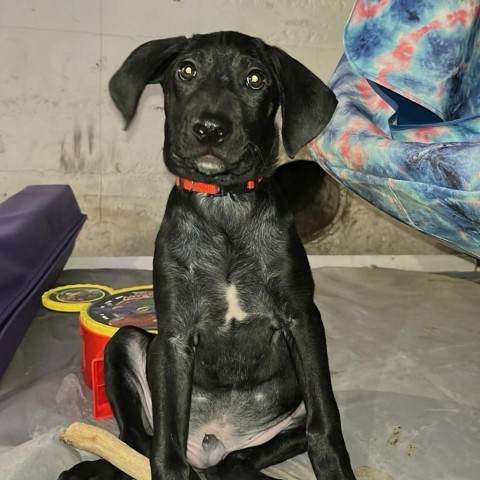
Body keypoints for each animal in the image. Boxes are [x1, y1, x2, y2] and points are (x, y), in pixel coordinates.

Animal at [59, 31, 352, 478]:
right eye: (186, 70)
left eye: (255, 79)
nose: (210, 129)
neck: (224, 205)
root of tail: (213, 442)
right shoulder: (175, 336)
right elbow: (166, 448)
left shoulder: (302, 319)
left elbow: (325, 423)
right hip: (125, 344)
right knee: (136, 438)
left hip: (284, 414)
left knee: (239, 458)